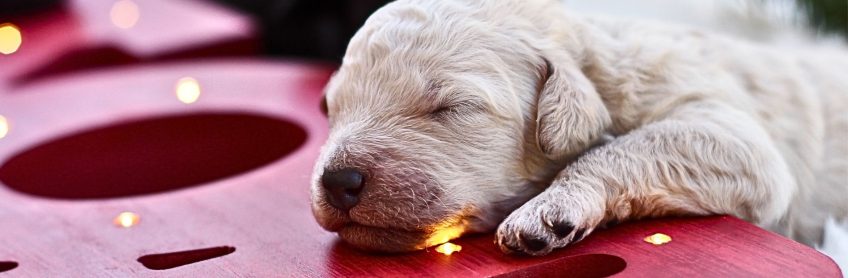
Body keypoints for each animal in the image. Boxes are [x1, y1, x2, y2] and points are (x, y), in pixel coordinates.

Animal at [308, 0, 844, 255]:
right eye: (332, 109)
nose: (337, 181)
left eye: (450, 107)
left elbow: (626, 146)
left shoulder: (726, 128)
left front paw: (548, 211)